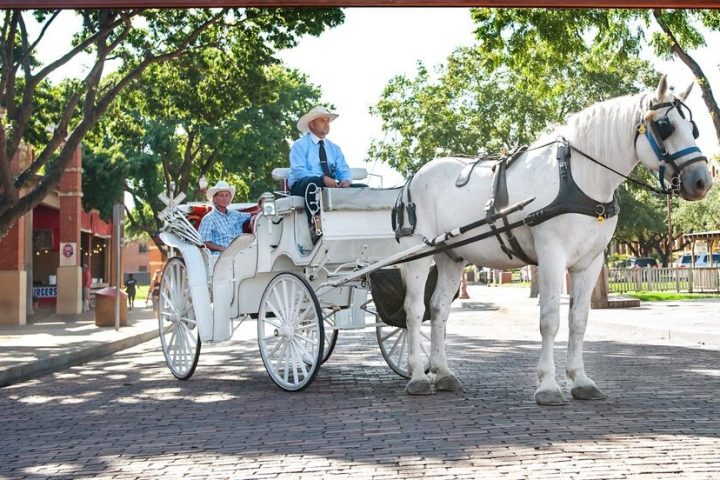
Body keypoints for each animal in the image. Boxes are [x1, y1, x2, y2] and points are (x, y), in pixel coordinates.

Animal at [402, 76, 712, 404]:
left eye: (693, 128)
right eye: (666, 127)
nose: (702, 181)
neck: (577, 177)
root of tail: (414, 177)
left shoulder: (590, 262)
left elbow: (579, 320)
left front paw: (580, 380)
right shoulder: (552, 255)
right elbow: (550, 319)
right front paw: (548, 385)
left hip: (451, 256)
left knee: (438, 309)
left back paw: (442, 373)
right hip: (417, 255)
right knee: (414, 310)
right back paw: (417, 375)